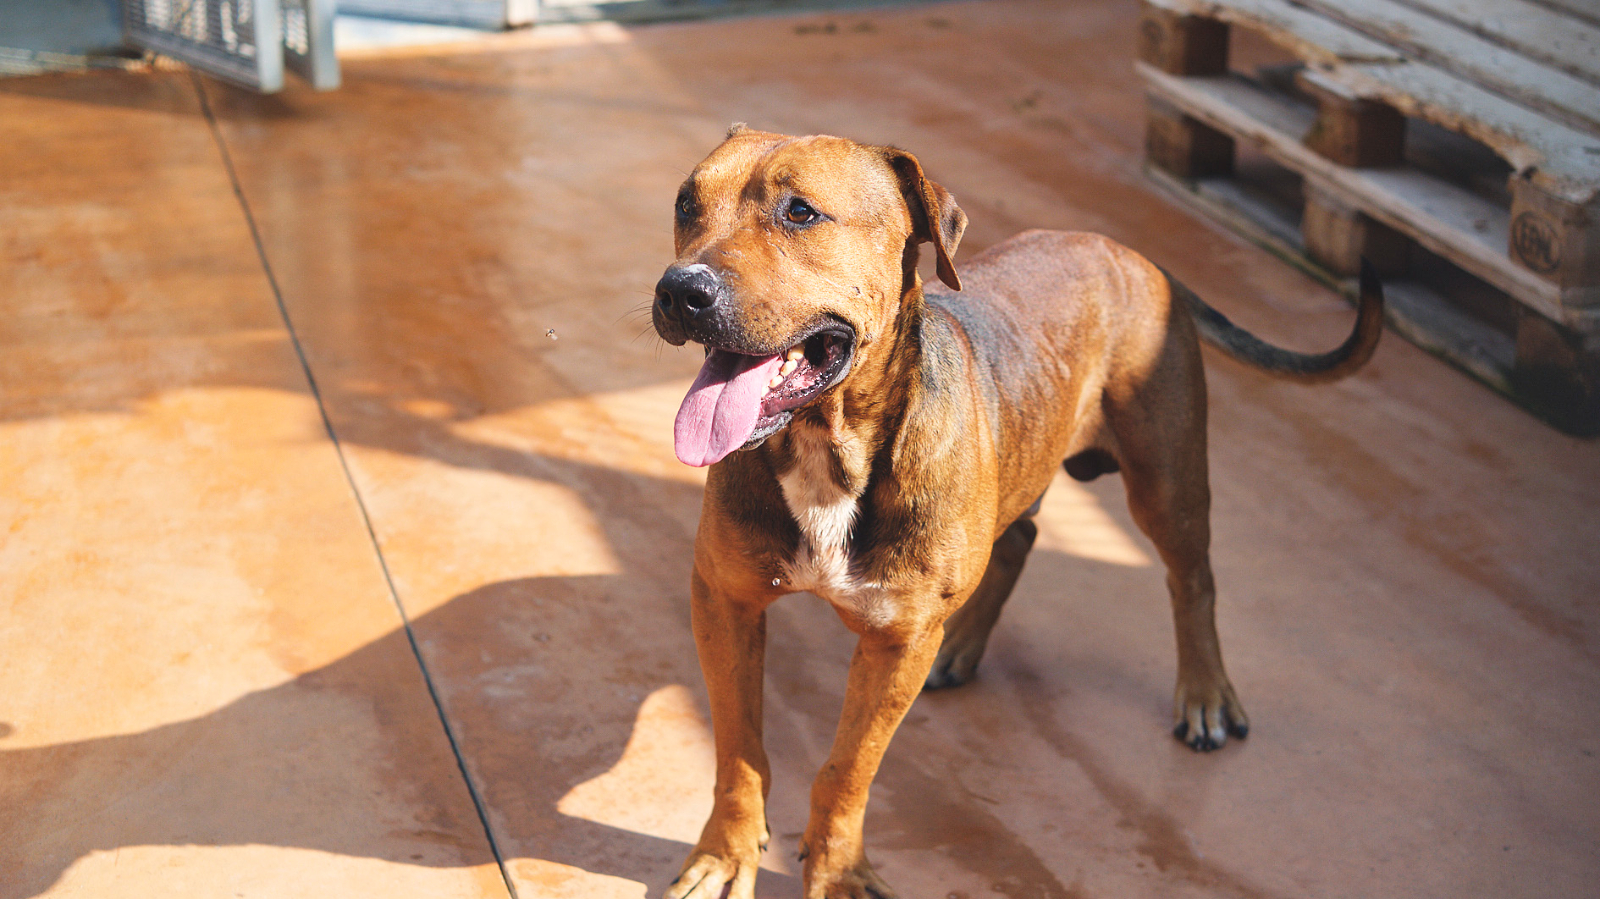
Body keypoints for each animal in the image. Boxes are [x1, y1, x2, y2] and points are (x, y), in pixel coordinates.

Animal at [651, 126, 1382, 899]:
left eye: (799, 212)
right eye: (686, 203)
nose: (680, 290)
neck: (830, 448)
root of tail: (1134, 254)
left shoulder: (898, 643)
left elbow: (848, 768)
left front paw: (839, 871)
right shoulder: (725, 601)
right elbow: (739, 750)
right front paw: (726, 854)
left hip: (1168, 481)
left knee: (1193, 580)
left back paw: (1206, 694)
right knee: (1022, 535)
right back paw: (967, 644)